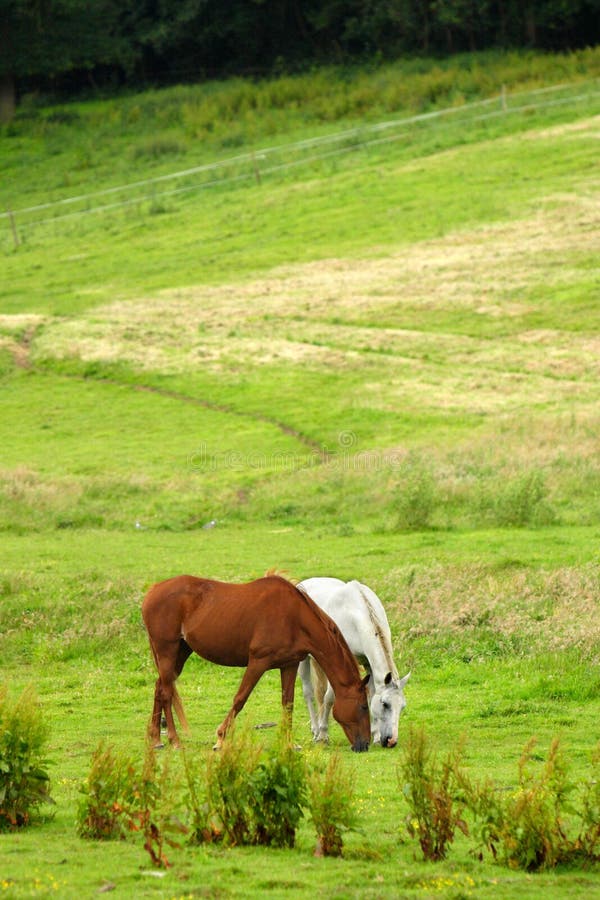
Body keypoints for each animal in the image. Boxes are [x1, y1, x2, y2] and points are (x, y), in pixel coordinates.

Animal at [143, 576, 372, 752]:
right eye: (363, 706)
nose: (365, 744)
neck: (294, 616)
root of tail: (153, 591)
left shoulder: (289, 665)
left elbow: (287, 704)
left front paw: (289, 744)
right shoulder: (258, 662)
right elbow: (240, 699)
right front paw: (221, 738)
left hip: (180, 654)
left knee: (159, 688)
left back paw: (156, 739)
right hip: (167, 652)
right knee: (166, 693)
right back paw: (174, 741)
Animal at [298, 580, 410, 748]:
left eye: (402, 706)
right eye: (385, 704)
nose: (391, 741)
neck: (354, 616)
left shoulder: (368, 664)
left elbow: (370, 696)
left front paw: (375, 736)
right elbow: (329, 698)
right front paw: (323, 735)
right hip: (303, 659)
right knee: (309, 693)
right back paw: (316, 730)